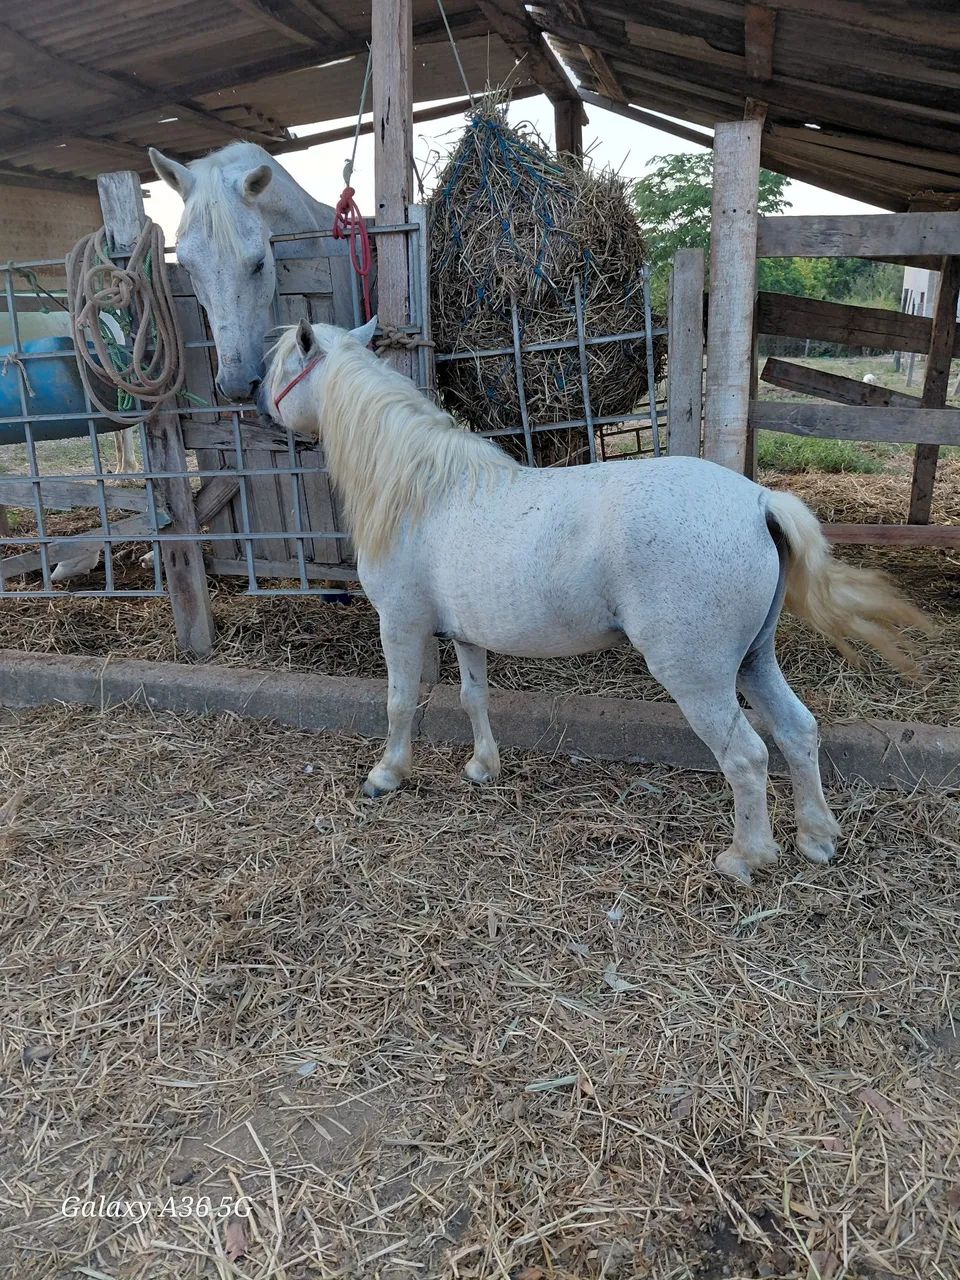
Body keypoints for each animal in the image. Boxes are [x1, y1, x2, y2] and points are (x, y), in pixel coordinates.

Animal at [261, 317, 926, 885]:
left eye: (283, 366)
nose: (259, 407)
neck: (425, 490)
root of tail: (758, 501)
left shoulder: (400, 625)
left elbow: (400, 702)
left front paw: (385, 775)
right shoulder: (467, 635)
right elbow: (474, 698)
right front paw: (482, 768)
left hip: (699, 676)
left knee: (746, 756)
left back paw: (745, 857)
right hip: (753, 660)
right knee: (797, 732)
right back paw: (817, 838)